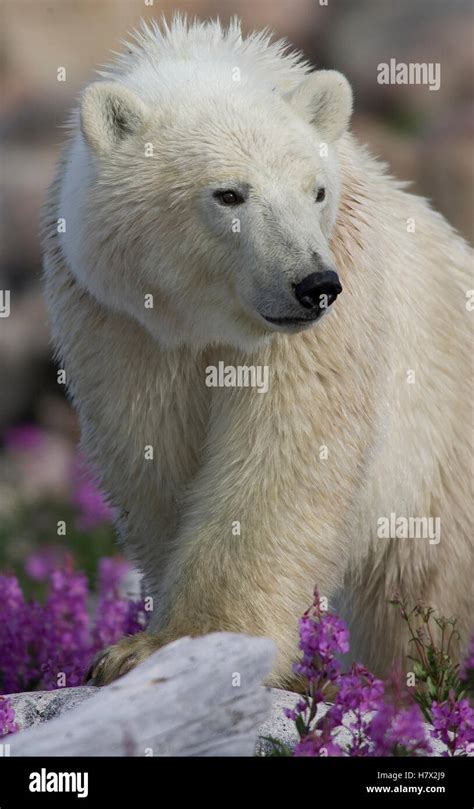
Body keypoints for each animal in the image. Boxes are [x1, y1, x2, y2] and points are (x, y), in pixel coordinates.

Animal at [42, 15, 472, 684]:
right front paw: (138, 647)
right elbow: (153, 453)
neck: (205, 322)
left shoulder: (319, 325)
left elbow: (283, 457)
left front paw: (190, 640)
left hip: (441, 455)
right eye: (229, 194)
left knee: (421, 596)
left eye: (316, 191)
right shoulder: (119, 323)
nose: (315, 285)